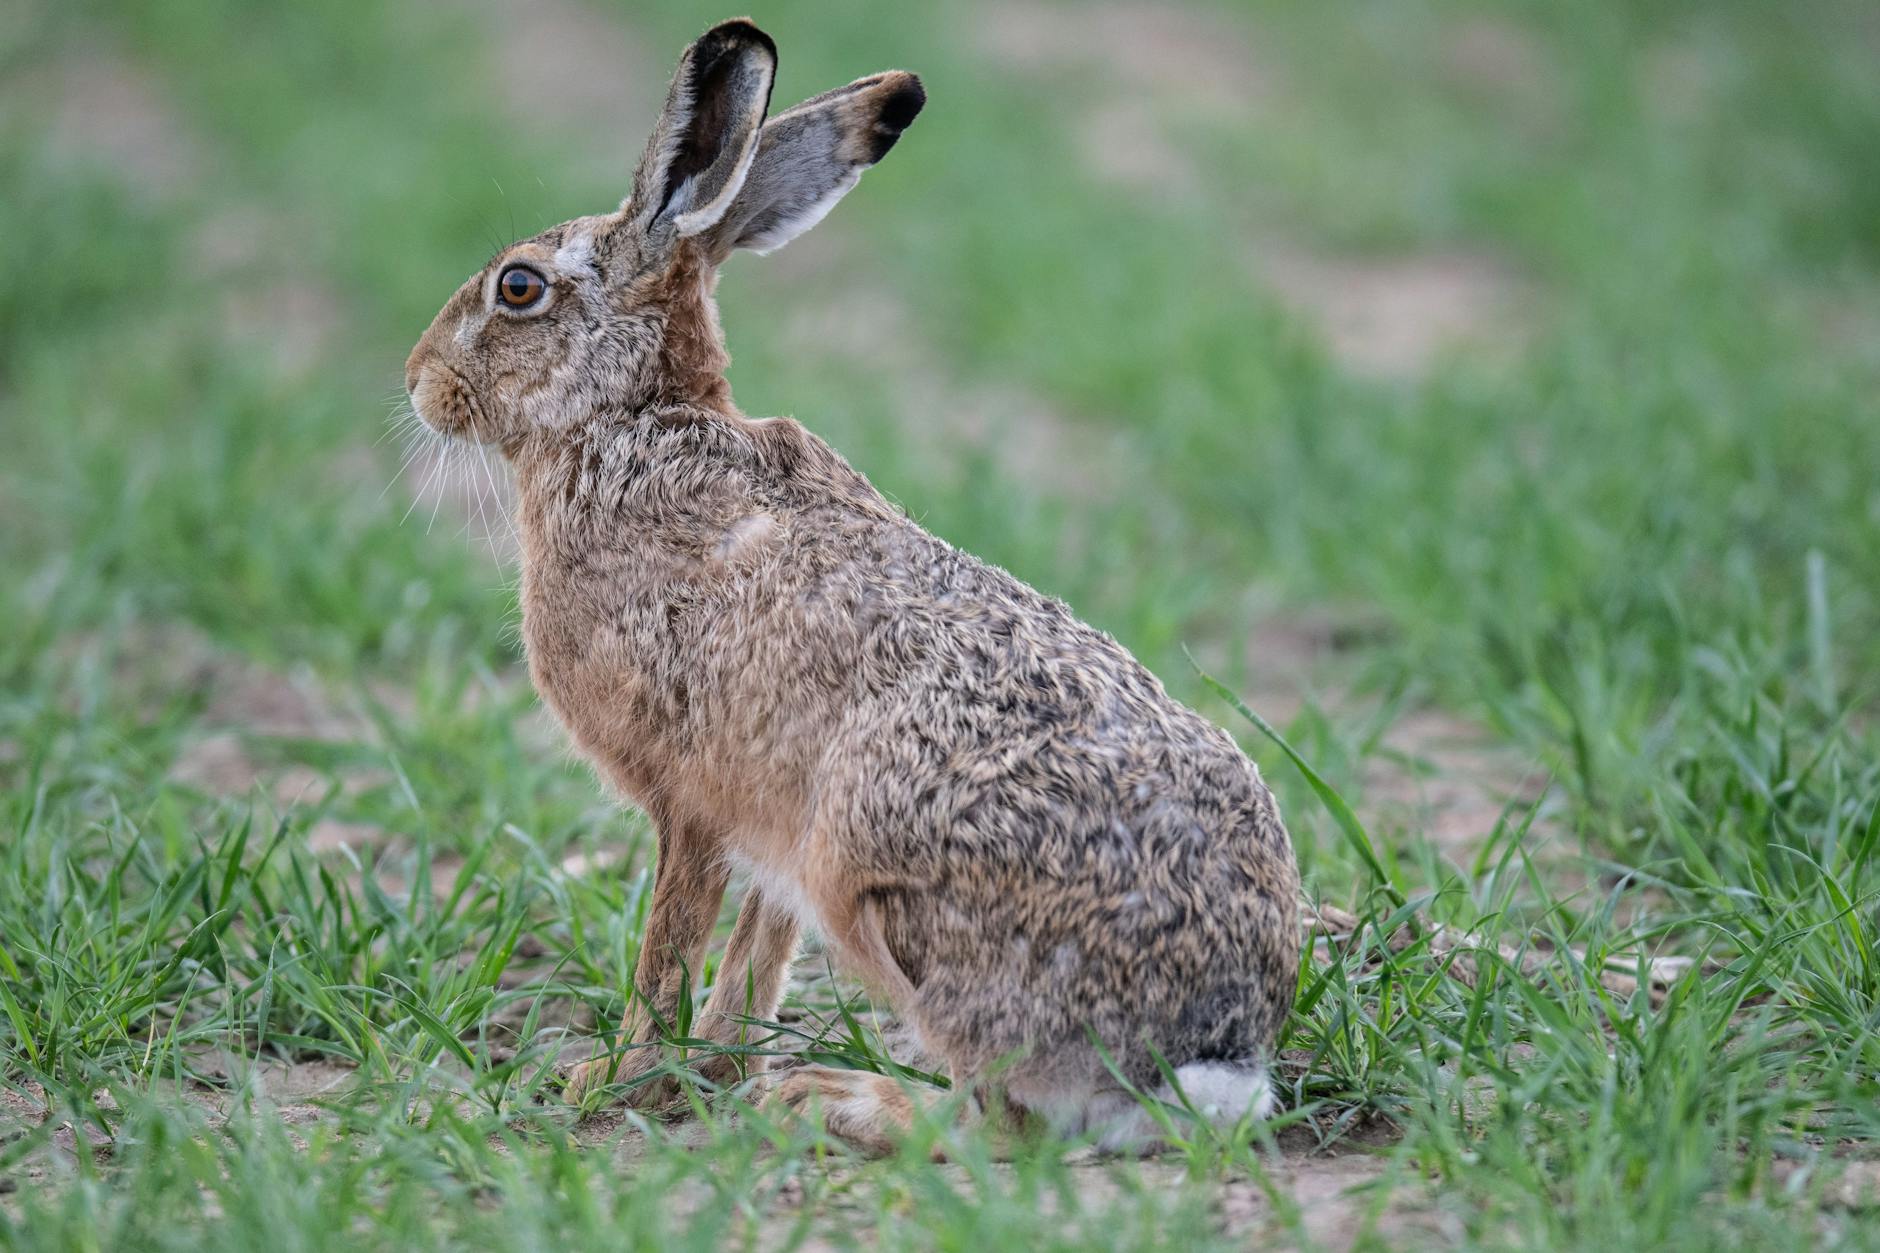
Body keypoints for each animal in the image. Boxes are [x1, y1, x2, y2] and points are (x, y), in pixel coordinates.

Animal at [403, 17, 1299, 1153]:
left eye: (517, 287)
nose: (417, 382)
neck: (629, 420)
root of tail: (1201, 1055)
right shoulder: (765, 832)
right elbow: (754, 955)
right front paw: (710, 1067)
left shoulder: (691, 802)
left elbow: (669, 948)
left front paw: (613, 1081)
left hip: (871, 874)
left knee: (998, 1117)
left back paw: (830, 1099)